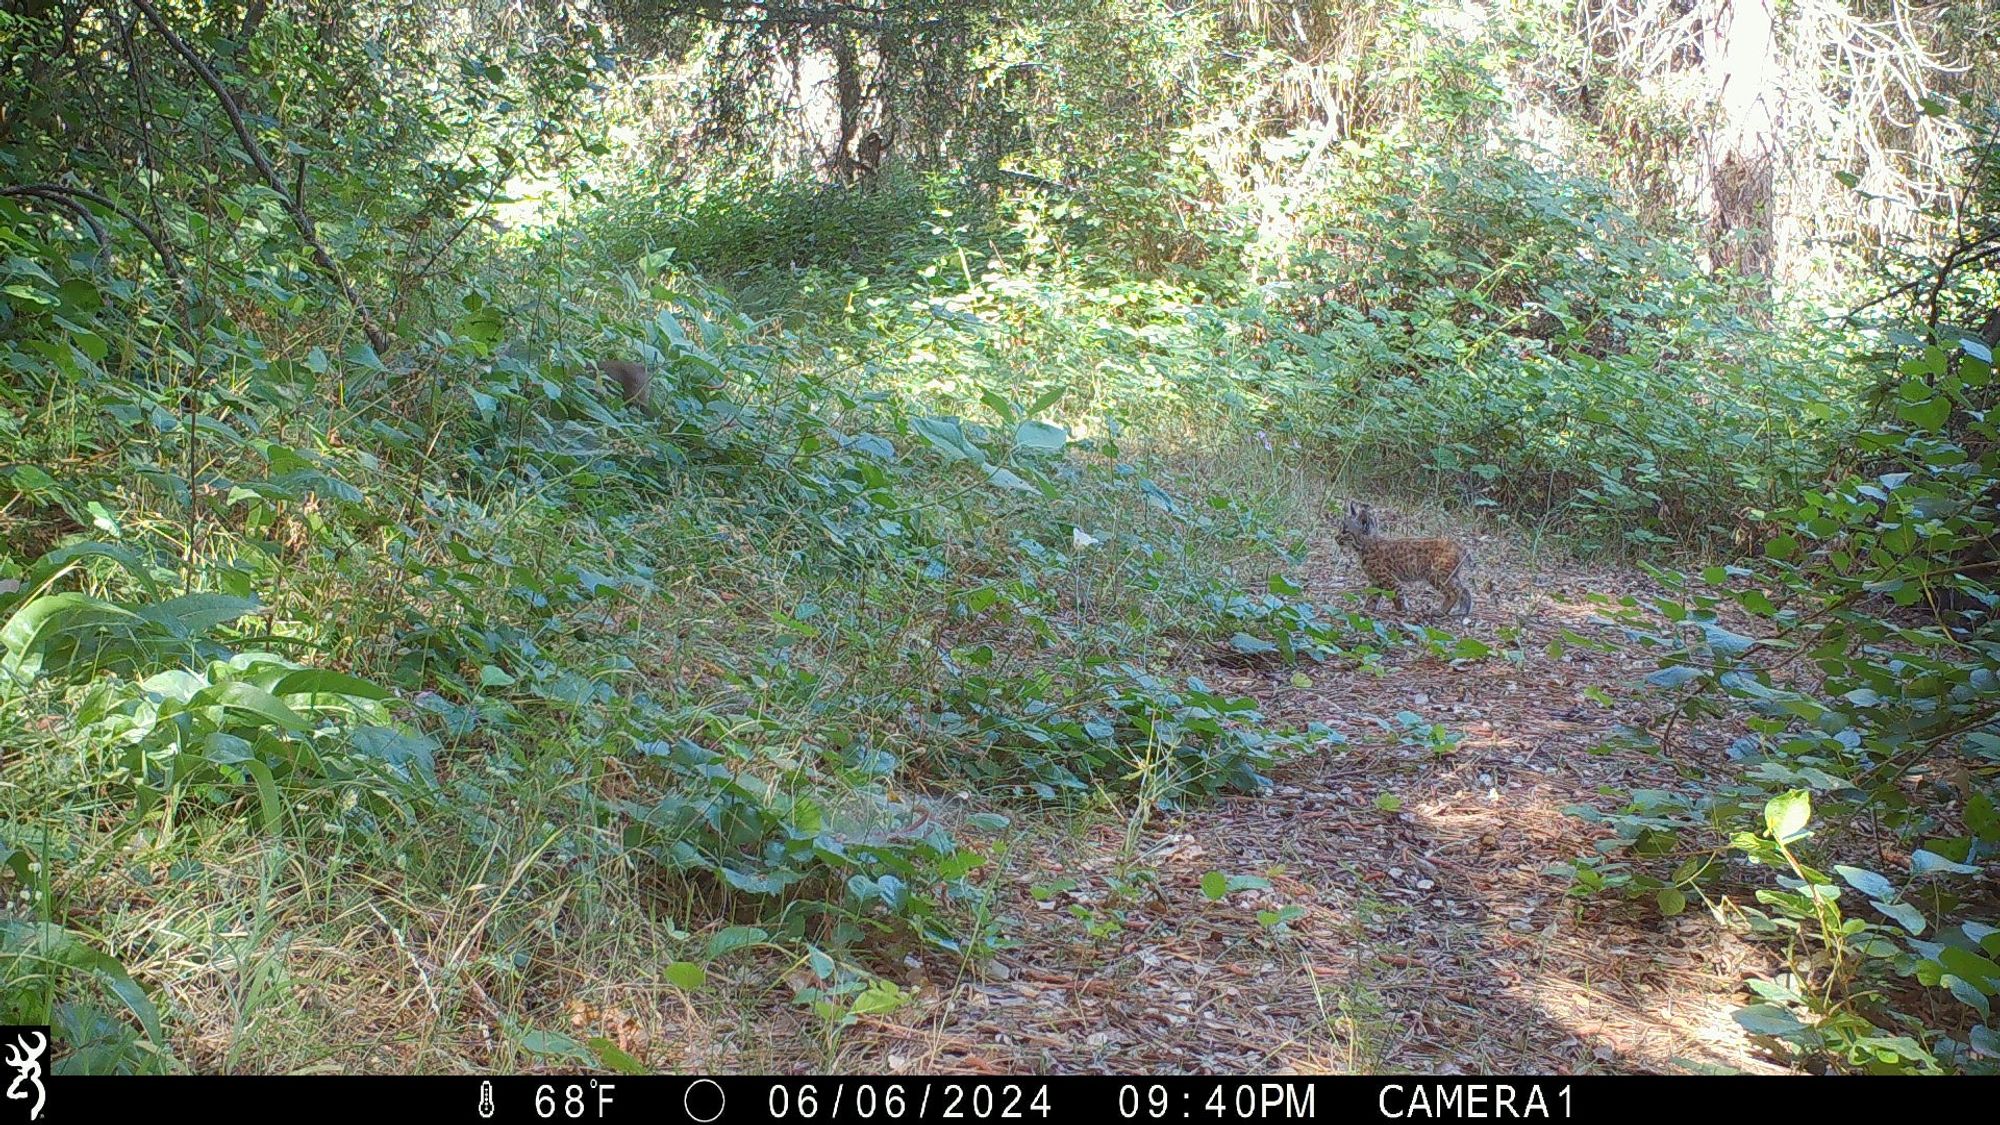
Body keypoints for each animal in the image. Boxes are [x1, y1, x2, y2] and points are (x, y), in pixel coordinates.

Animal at [1336, 498, 1480, 616]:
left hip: (1436, 574)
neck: (1364, 545)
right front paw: (1366, 611)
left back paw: (1440, 611)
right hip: (1450, 574)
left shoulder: (1389, 578)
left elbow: (1397, 595)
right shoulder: (1376, 581)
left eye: (1345, 531)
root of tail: (1459, 545)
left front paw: (1402, 612)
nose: (1336, 538)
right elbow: (1372, 597)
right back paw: (1462, 611)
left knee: (1454, 591)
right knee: (1464, 589)